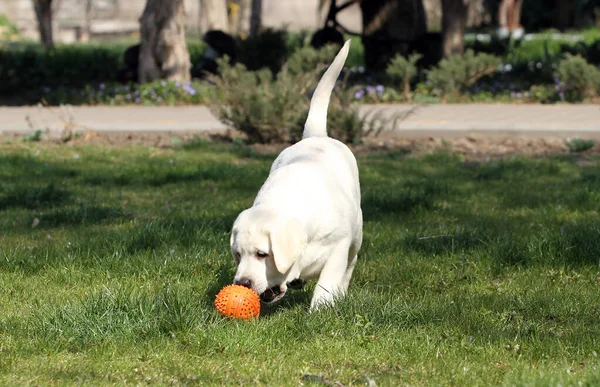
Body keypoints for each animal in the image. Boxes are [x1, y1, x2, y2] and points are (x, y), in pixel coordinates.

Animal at [229, 41, 360, 310]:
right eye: (238, 254)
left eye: (262, 254)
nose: (242, 283)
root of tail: (316, 136)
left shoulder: (340, 243)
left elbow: (329, 276)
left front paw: (322, 306)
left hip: (358, 230)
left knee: (350, 263)